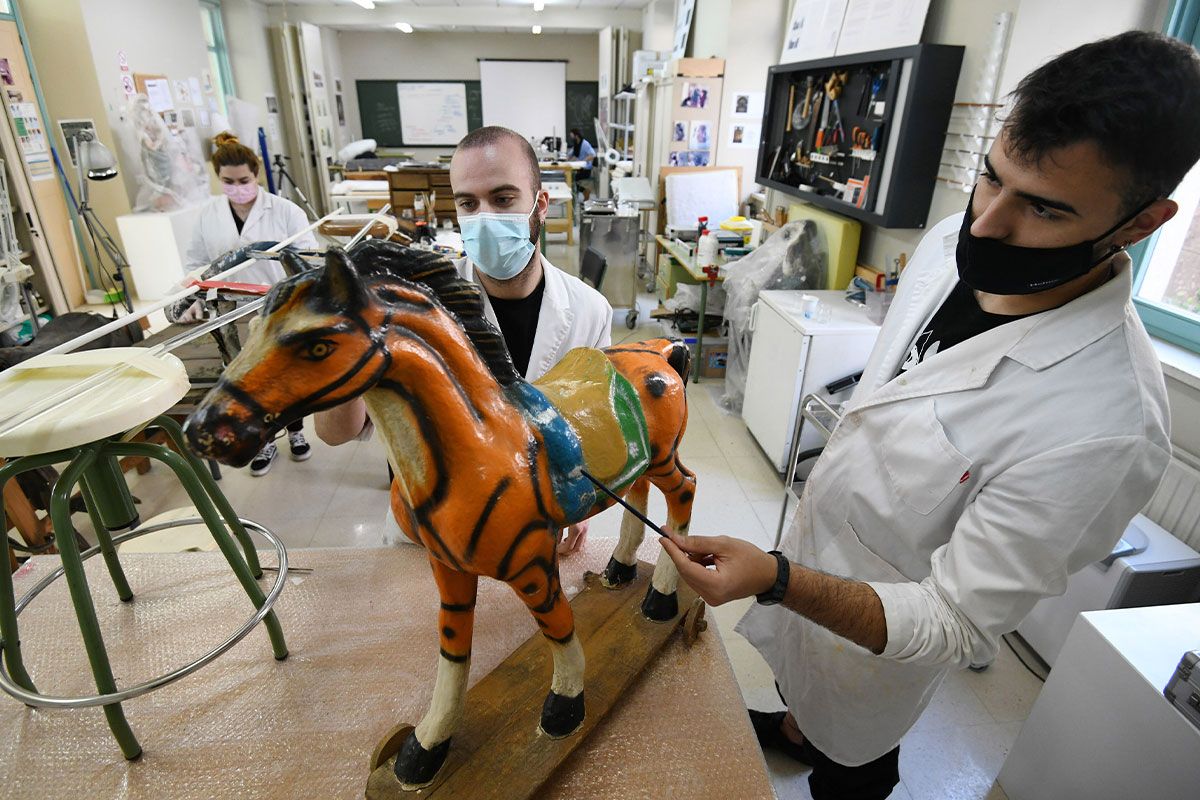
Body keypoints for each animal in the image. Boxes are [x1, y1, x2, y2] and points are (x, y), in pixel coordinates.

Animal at [183, 242, 700, 786]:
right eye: (257, 326)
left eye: (318, 345)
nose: (204, 430)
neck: (482, 448)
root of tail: (663, 351)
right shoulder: (447, 568)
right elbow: (453, 649)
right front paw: (423, 748)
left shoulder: (534, 564)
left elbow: (558, 627)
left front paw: (564, 709)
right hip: (642, 463)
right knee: (638, 496)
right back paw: (619, 570)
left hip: (665, 458)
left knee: (683, 495)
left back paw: (661, 600)